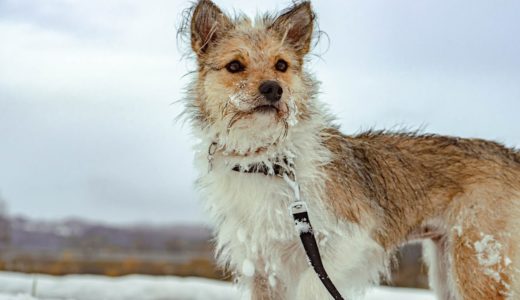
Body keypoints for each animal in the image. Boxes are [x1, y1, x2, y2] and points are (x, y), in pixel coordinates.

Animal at [179, 1, 520, 298]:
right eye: (235, 66)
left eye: (281, 65)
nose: (273, 89)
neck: (268, 159)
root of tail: (511, 155)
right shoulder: (263, 268)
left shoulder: (352, 240)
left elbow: (311, 285)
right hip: (447, 269)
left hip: (477, 266)